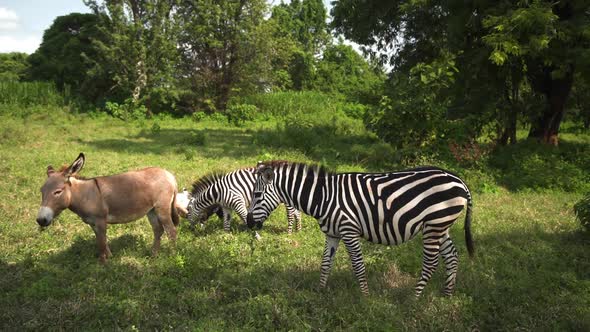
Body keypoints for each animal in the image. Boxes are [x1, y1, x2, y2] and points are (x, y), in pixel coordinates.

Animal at [246, 161, 476, 296]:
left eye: (257, 195)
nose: (248, 223)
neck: (324, 197)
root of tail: (458, 180)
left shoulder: (349, 231)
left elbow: (357, 265)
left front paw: (365, 298)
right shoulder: (332, 234)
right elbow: (325, 263)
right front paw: (320, 292)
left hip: (435, 225)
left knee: (431, 262)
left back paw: (415, 298)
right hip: (440, 225)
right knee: (452, 256)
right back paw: (447, 294)